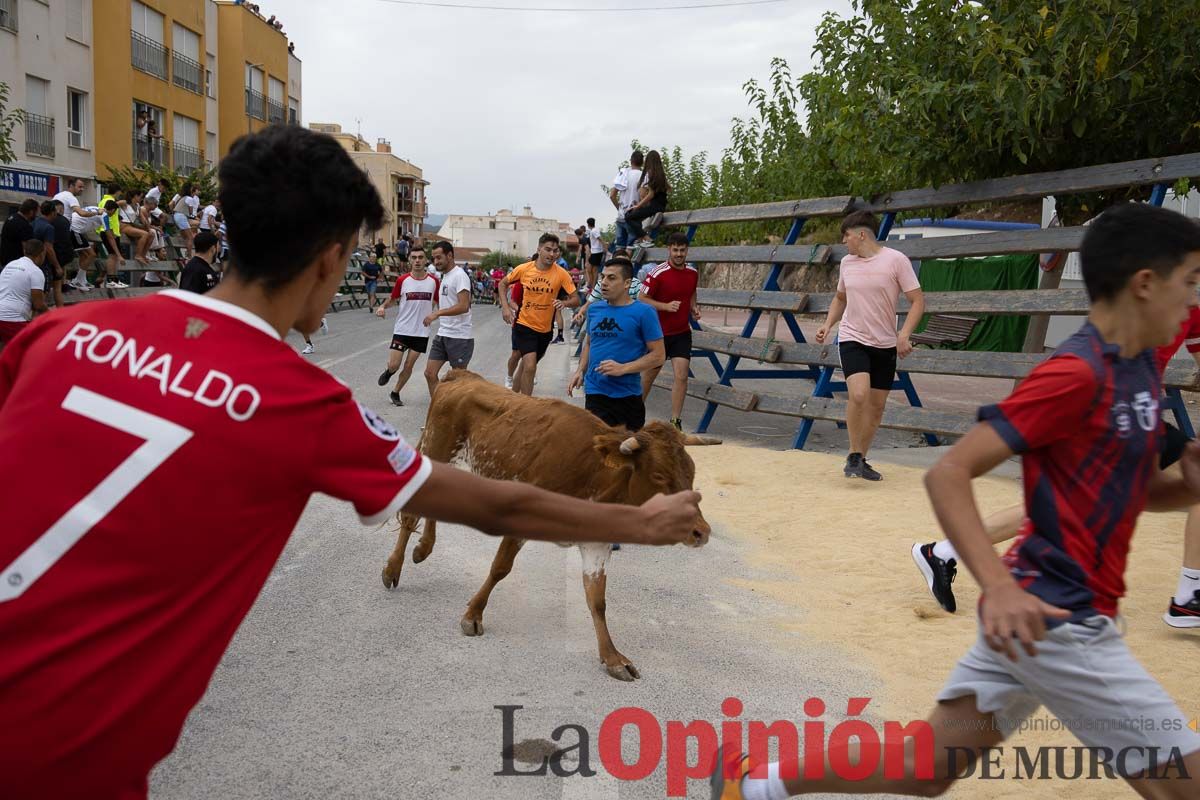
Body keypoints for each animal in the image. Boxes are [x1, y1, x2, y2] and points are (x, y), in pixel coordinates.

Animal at [384, 371, 710, 681]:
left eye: (692, 472)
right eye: (659, 475)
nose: (701, 531)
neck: (594, 472)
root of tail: (463, 376)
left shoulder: (597, 543)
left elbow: (597, 599)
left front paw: (612, 658)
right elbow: (500, 568)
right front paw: (473, 615)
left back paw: (423, 549)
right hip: (438, 447)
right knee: (411, 516)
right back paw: (393, 569)